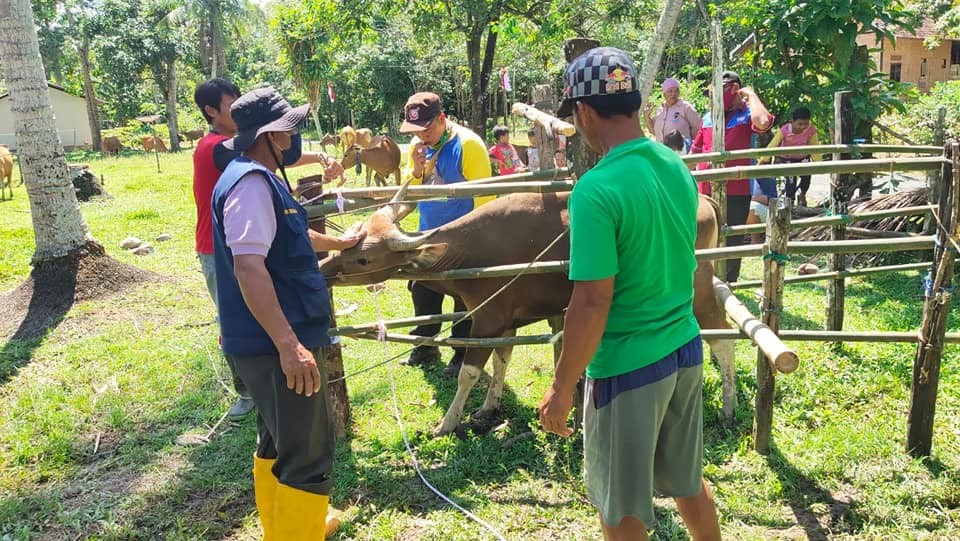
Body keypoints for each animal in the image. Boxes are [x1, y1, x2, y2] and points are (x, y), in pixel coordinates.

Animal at [320, 185, 736, 434]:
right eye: (350, 239)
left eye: (364, 258)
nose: (324, 268)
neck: (466, 254)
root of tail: (705, 201)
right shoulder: (507, 322)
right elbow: (502, 361)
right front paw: (488, 409)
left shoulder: (486, 319)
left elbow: (468, 372)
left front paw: (447, 423)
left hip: (696, 291)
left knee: (723, 339)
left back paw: (728, 409)